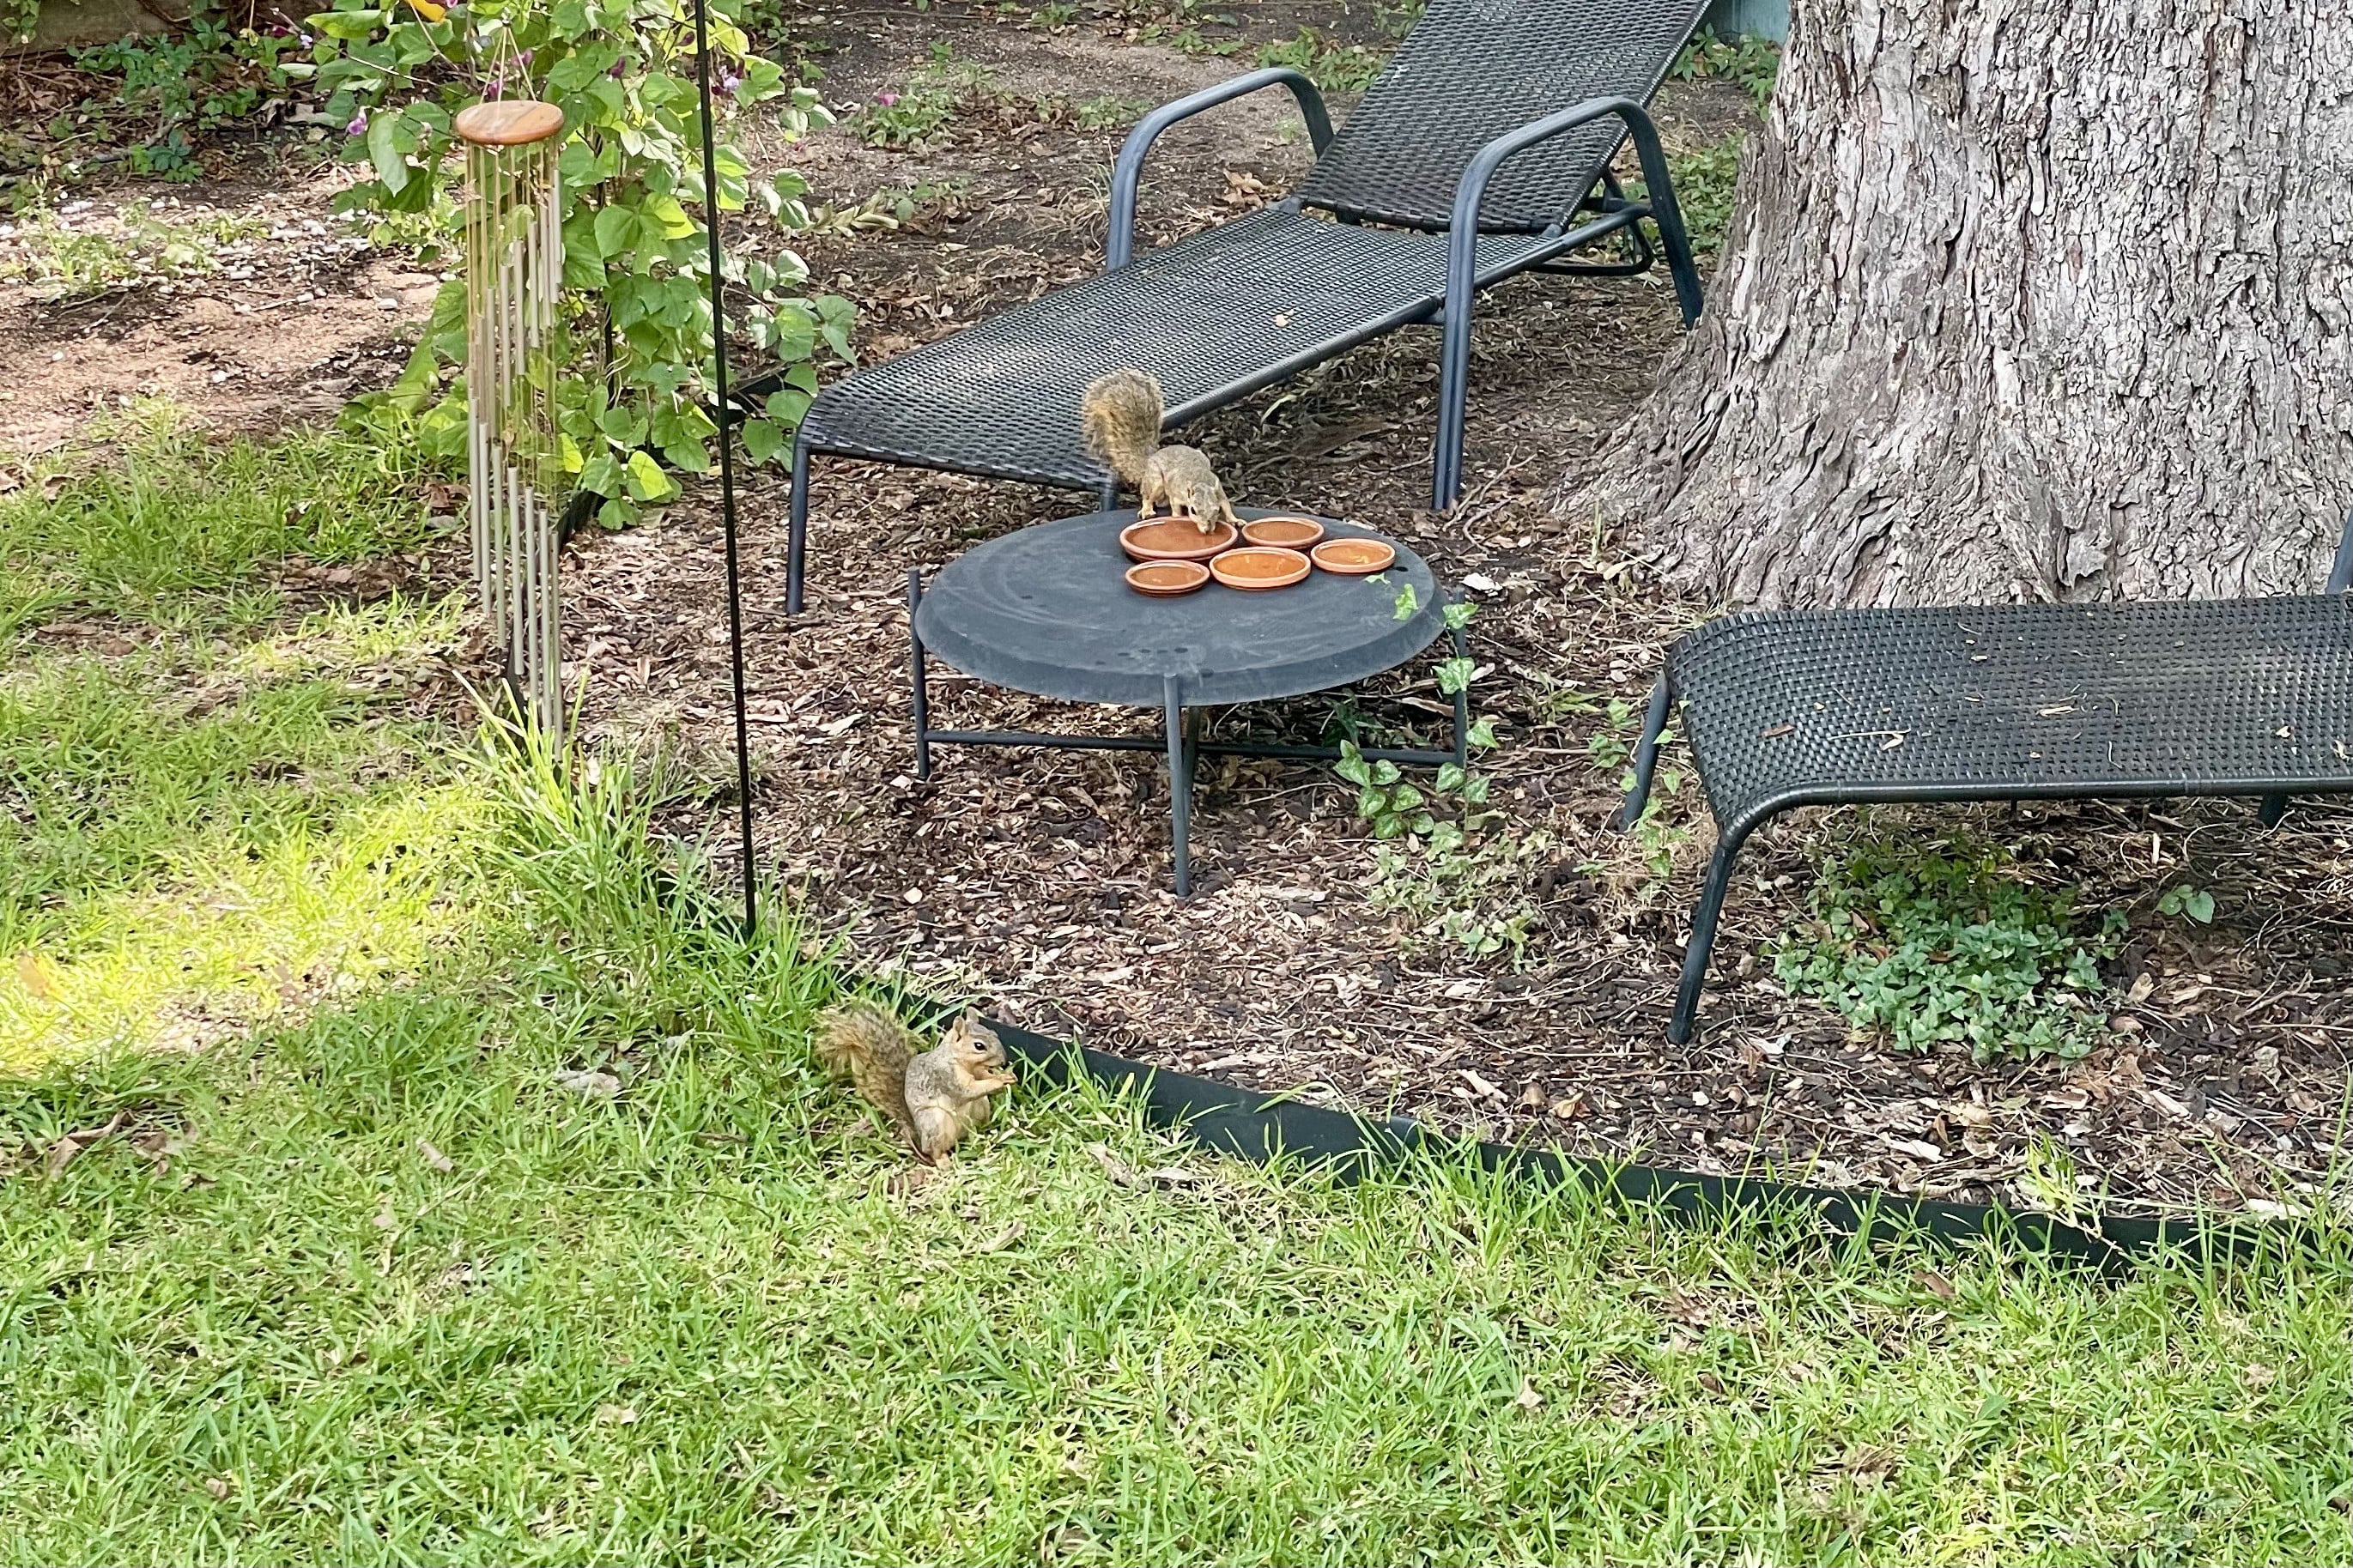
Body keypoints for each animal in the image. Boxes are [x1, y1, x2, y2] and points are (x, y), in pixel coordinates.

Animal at [813, 1000, 1016, 1161]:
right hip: (934, 1122)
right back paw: (944, 1162)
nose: (1004, 1060)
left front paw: (1004, 1076)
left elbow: (982, 1076)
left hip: (980, 1107)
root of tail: (917, 1133)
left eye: (994, 1033)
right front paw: (999, 1080)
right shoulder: (946, 1076)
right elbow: (968, 1090)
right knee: (933, 1151)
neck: (959, 1060)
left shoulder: (976, 1071)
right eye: (979, 1046)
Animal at [1080, 368, 1238, 533]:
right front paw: (1178, 518)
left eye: (1216, 511)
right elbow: (1175, 507)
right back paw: (1147, 510)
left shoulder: (1219, 493)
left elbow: (1227, 506)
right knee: (1147, 497)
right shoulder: (1175, 493)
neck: (1199, 481)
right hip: (1155, 481)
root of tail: (1151, 459)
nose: (1207, 530)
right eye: (1193, 510)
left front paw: (1235, 520)